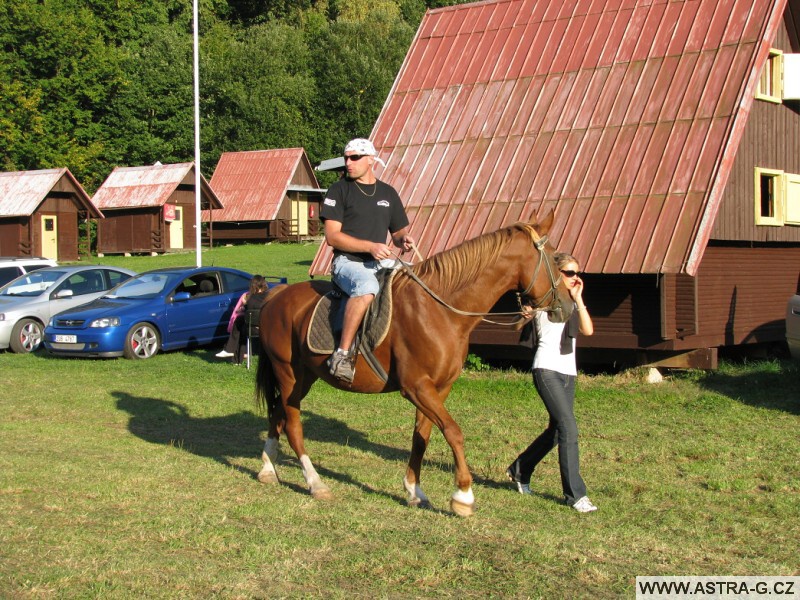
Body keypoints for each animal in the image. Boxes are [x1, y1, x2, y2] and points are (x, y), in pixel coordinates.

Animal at [253, 212, 572, 516]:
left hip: (304, 377)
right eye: (554, 259)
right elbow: (454, 432)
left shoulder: (438, 389)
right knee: (293, 424)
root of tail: (275, 295)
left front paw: (415, 491)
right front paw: (463, 496)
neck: (439, 311)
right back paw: (315, 483)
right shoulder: (417, 387)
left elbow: (422, 437)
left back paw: (268, 467)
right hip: (288, 373)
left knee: (279, 413)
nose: (568, 306)